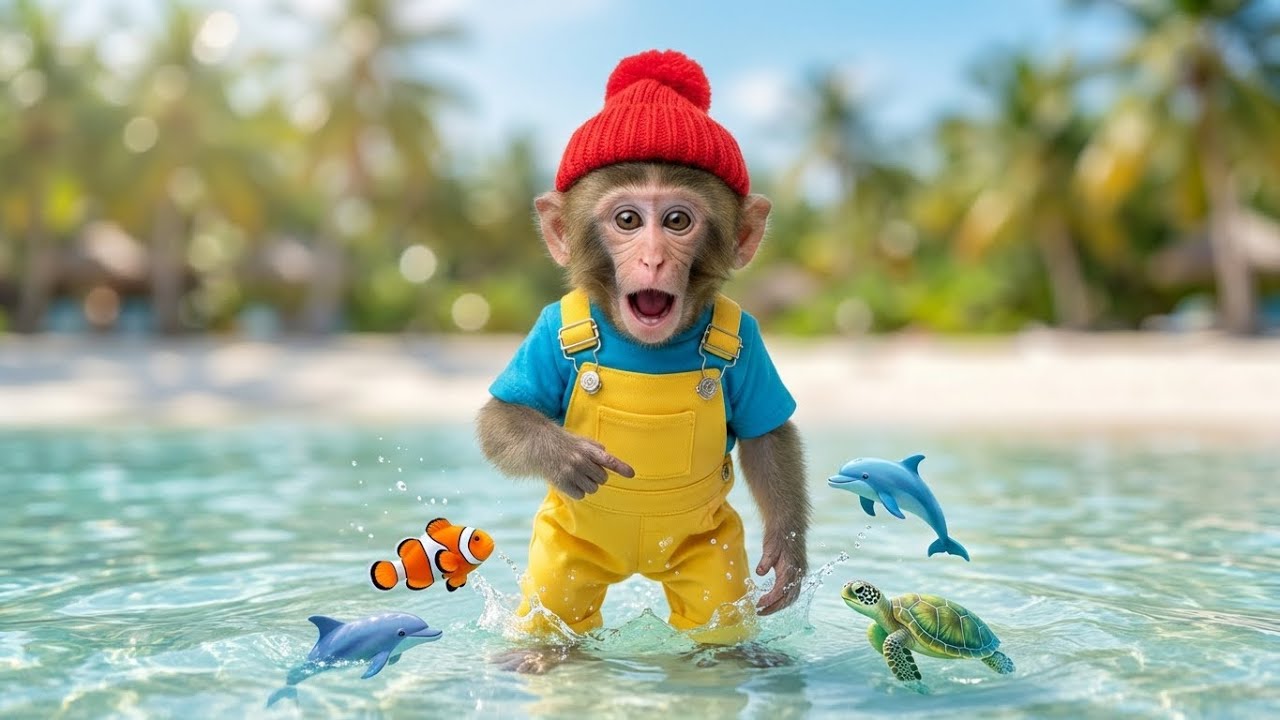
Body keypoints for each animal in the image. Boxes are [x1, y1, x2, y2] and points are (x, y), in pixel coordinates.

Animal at [474, 50, 810, 673]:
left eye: (677, 221)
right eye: (628, 221)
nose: (653, 259)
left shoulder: (751, 339)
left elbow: (768, 436)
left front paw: (788, 549)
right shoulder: (544, 330)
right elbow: (500, 418)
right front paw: (564, 454)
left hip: (708, 545)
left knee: (716, 609)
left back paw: (732, 654)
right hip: (567, 542)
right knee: (556, 606)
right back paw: (541, 652)